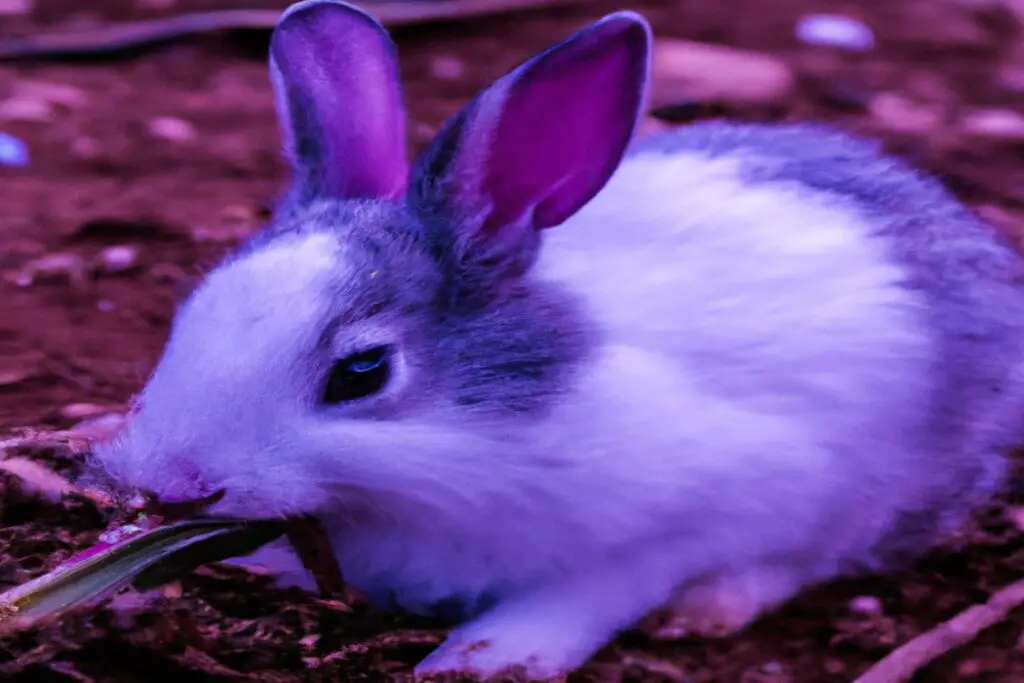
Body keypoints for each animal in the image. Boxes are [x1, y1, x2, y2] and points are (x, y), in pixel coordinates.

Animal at [82, 0, 1024, 678]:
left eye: (362, 370)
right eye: (191, 309)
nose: (170, 480)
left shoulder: (687, 516)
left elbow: (594, 590)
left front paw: (484, 657)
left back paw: (709, 609)